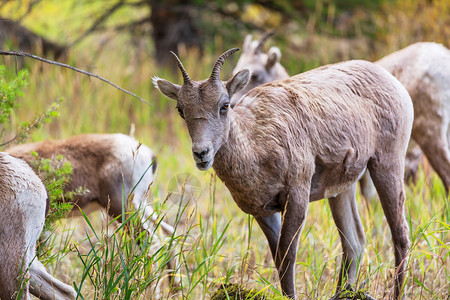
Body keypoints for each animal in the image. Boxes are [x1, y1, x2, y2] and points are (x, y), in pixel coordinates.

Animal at [153, 48, 414, 298]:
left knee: (400, 234)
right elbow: (278, 259)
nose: (201, 153)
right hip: (341, 190)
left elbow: (288, 258)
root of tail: (394, 83)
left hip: (387, 164)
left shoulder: (297, 196)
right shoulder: (263, 211)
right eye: (181, 109)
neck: (256, 148)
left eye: (224, 105)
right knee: (354, 243)